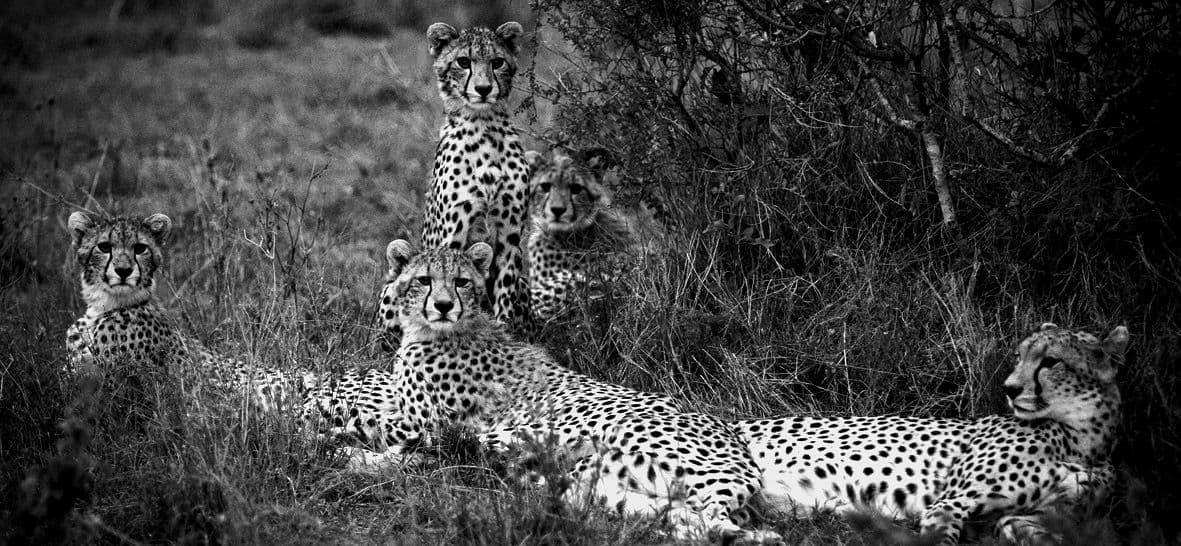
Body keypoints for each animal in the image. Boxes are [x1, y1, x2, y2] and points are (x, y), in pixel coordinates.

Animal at [345, 240, 782, 543]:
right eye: (423, 280)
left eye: (461, 282)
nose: (443, 305)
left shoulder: (429, 423)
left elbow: (366, 419)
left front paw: (345, 438)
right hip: (603, 481)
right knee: (686, 521)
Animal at [414, 20, 533, 342]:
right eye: (463, 62)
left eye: (497, 62)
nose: (483, 89)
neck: (484, 126)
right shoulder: (452, 232)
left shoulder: (509, 234)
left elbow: (505, 290)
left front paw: (503, 332)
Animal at [734, 323, 1127, 544]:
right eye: (1019, 356)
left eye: (1051, 361)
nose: (1010, 388)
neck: (1081, 441)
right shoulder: (949, 503)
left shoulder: (1031, 517)